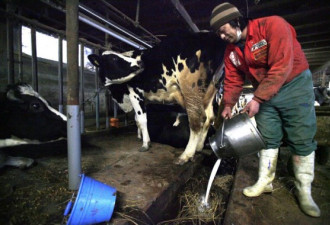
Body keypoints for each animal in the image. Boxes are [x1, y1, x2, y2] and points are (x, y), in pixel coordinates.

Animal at [88, 31, 227, 164]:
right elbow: (137, 119)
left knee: (197, 119)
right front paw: (140, 136)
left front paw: (145, 144)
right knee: (209, 117)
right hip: (210, 90)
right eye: (114, 59)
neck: (120, 94)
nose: (140, 62)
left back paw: (185, 155)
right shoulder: (145, 98)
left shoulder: (135, 93)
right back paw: (198, 147)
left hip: (191, 89)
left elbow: (142, 119)